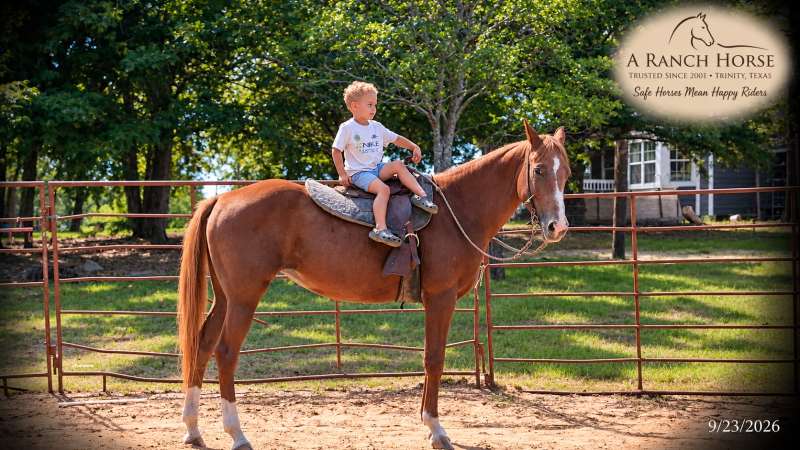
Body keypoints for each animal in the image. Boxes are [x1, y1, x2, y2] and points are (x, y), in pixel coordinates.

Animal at [177, 119, 571, 450]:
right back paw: (237, 434)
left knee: (202, 346)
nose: (557, 227)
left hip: (225, 298)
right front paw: (436, 429)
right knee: (225, 353)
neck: (458, 209)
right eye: (538, 169)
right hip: (245, 297)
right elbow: (434, 359)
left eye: (565, 172)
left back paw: (194, 430)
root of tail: (221, 198)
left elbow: (429, 360)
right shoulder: (440, 299)